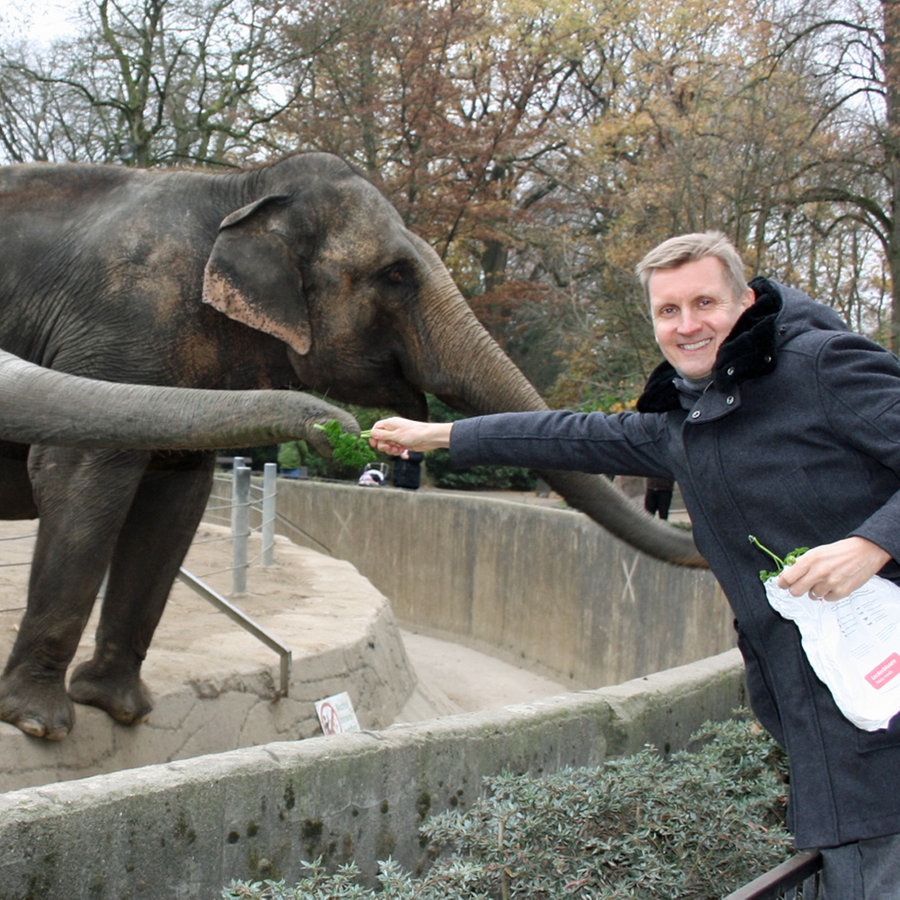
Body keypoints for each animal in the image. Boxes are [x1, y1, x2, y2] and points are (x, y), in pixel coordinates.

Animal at [0, 153, 704, 740]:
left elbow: (175, 501)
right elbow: (78, 470)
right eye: (395, 275)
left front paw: (119, 708)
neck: (238, 189)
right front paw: (39, 724)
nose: (340, 429)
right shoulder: (122, 322)